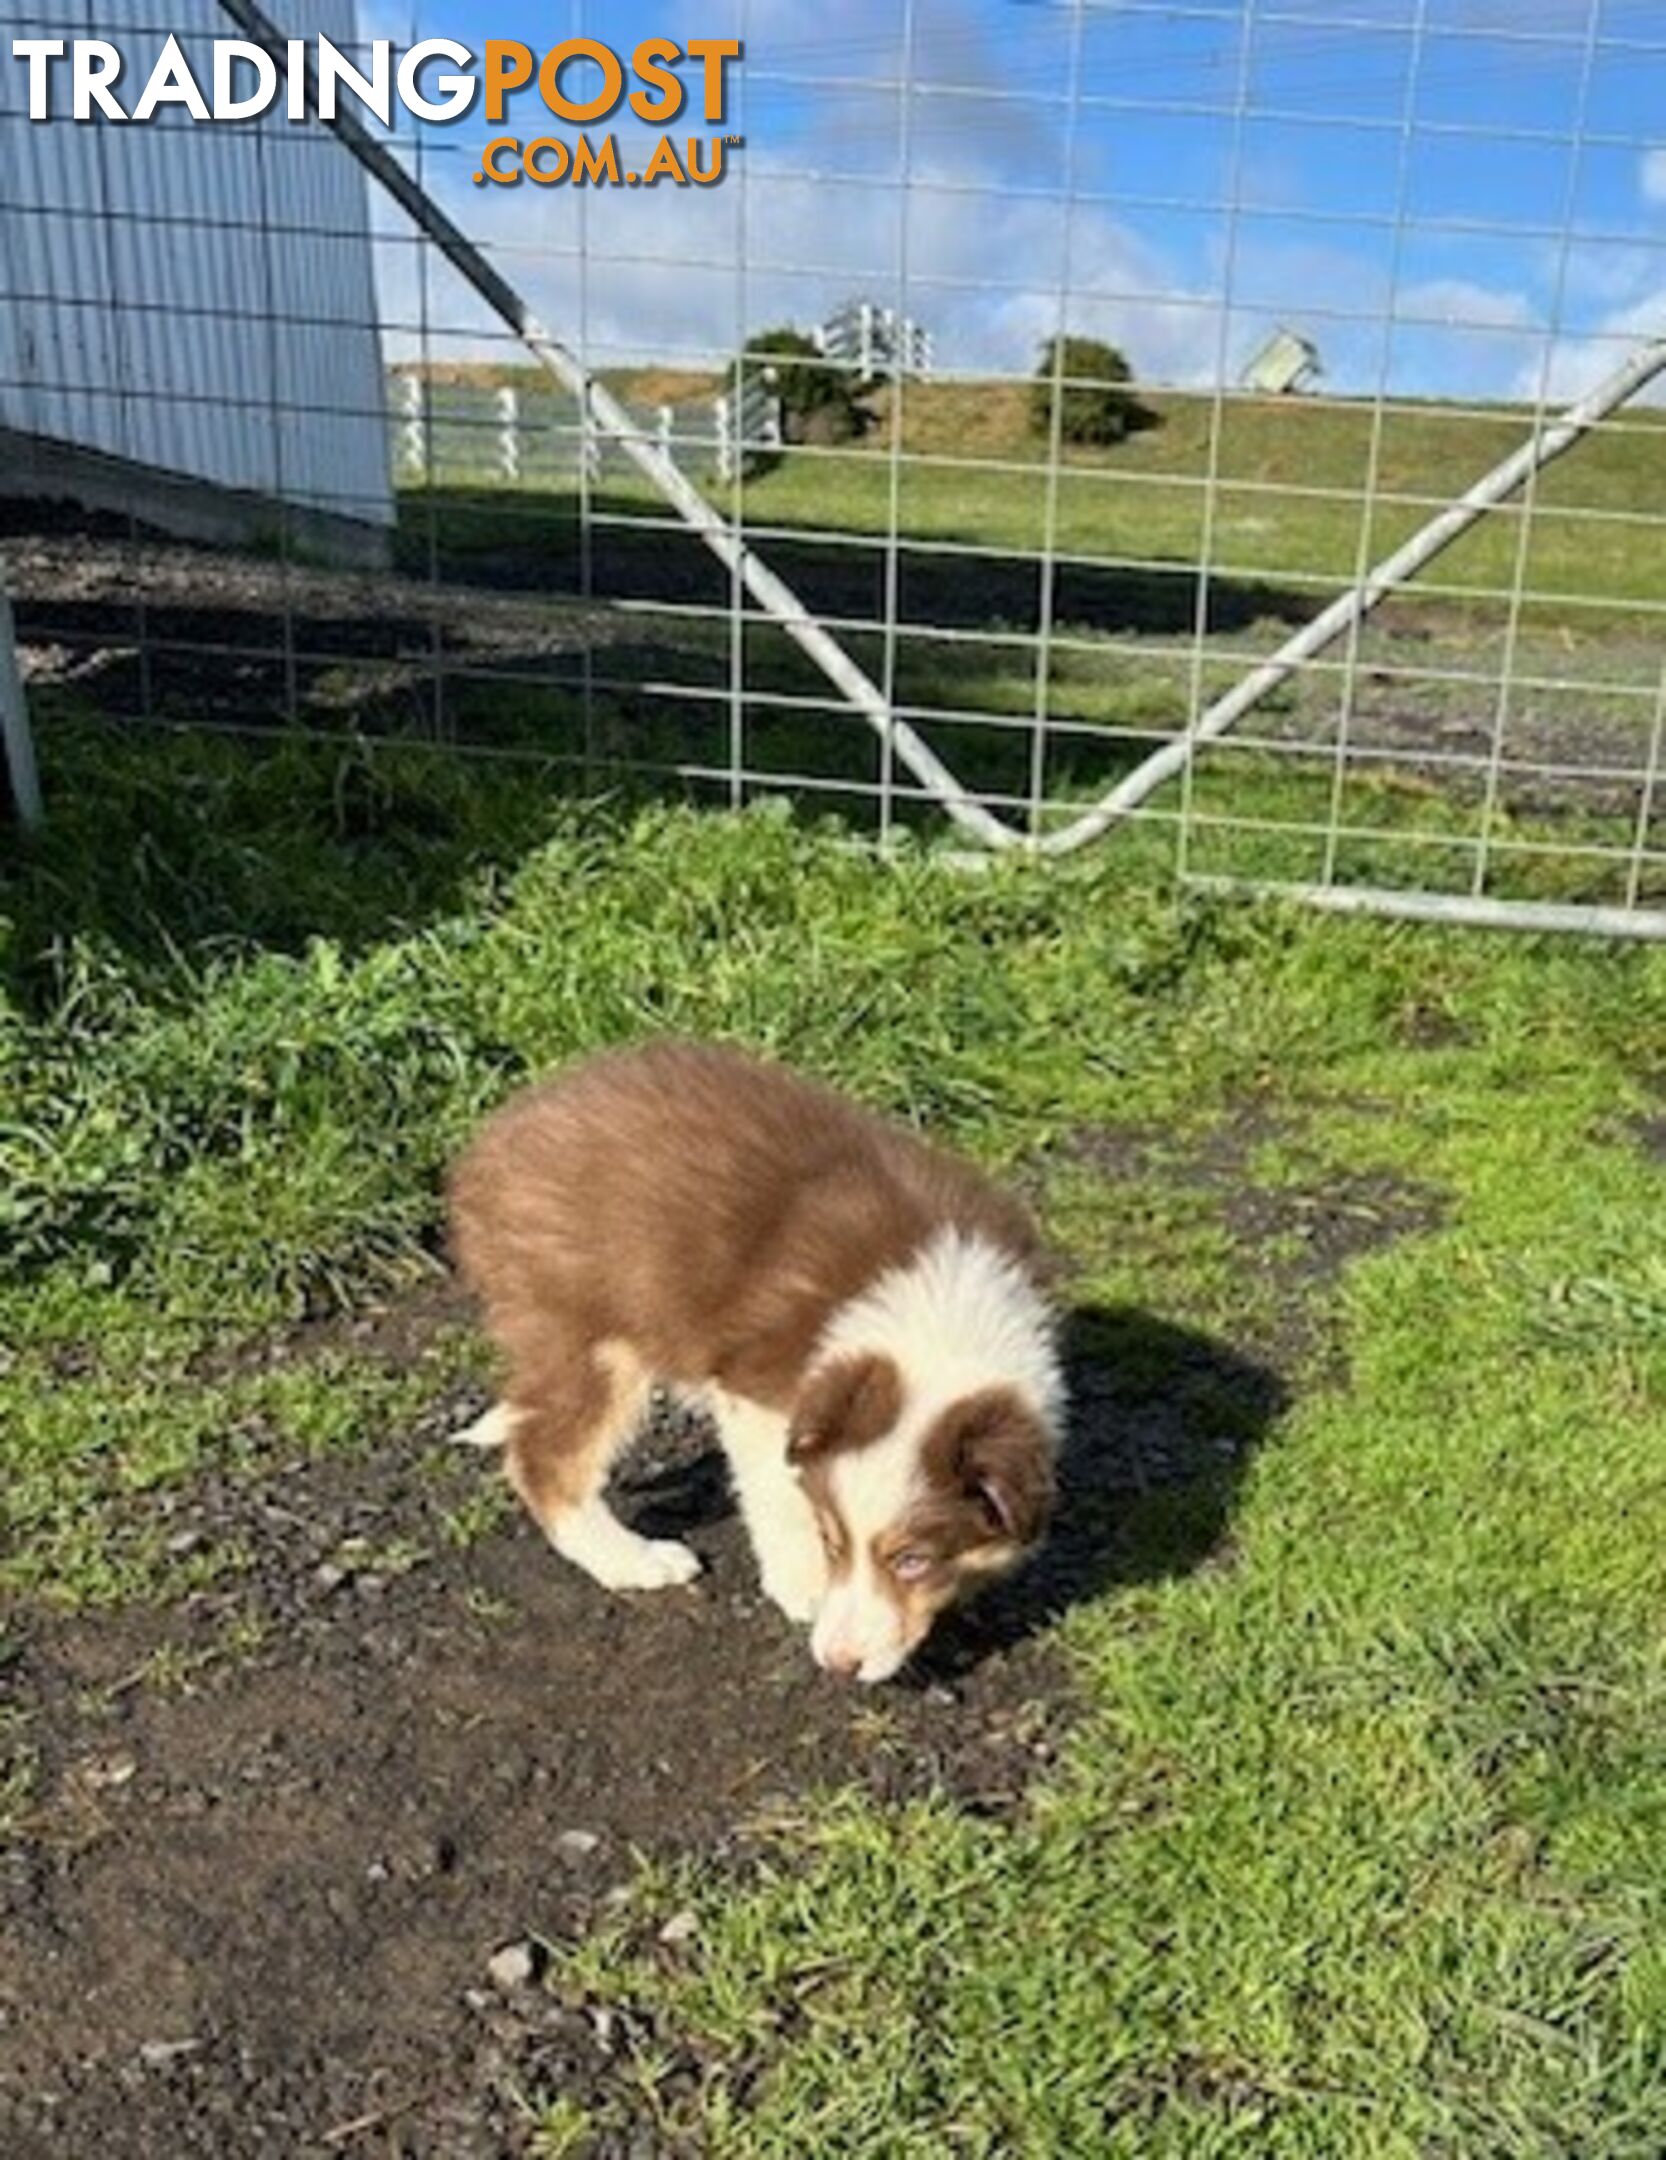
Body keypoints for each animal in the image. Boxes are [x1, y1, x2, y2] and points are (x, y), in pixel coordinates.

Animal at [449, 1036, 1063, 1676]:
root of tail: (492, 1141)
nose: (837, 1663)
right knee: (547, 1459)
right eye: (833, 1541)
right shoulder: (759, 1390)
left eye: (913, 1560)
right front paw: (804, 1587)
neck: (938, 1325)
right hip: (590, 1332)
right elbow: (776, 1489)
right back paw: (637, 1561)